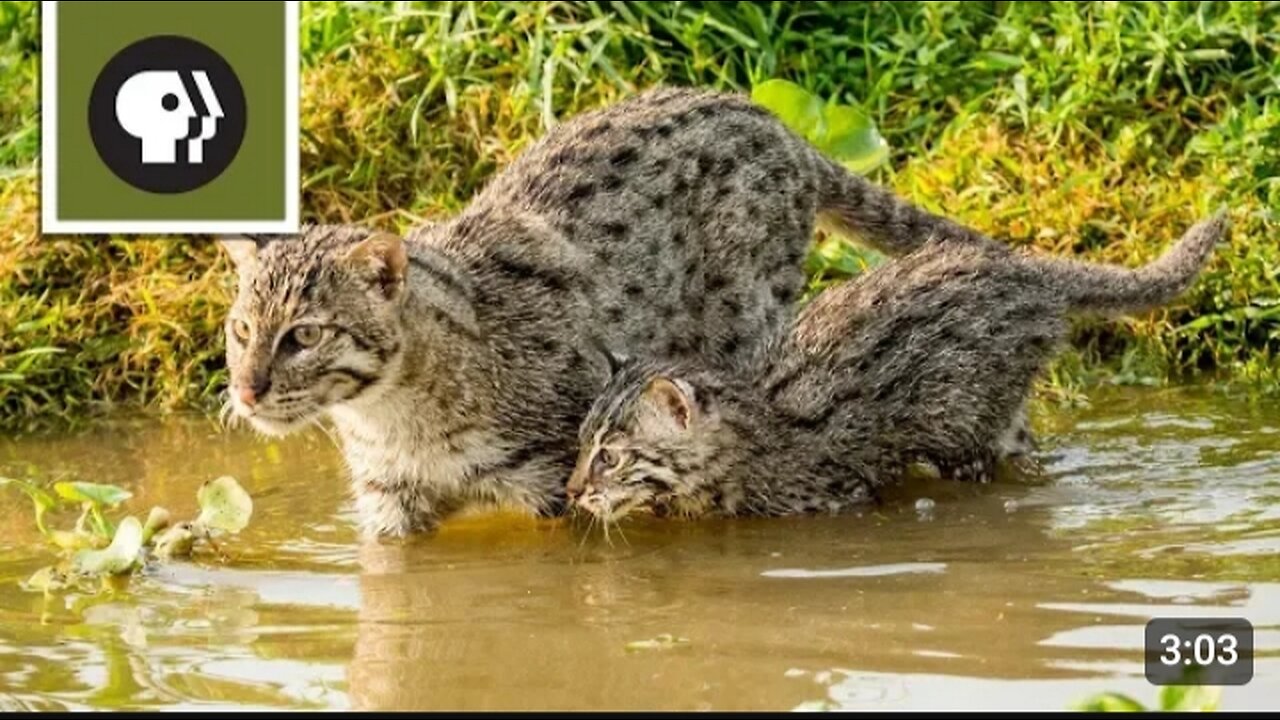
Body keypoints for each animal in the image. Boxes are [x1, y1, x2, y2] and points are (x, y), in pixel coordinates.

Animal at [220, 83, 998, 535]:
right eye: (241, 329)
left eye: (305, 335)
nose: (245, 391)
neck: (395, 417)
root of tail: (781, 126)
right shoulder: (390, 508)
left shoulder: (557, 480)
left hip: (746, 321)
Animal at [570, 210, 1228, 517]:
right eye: (579, 445)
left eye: (611, 457)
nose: (574, 490)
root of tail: (1026, 271)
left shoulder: (839, 495)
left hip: (966, 420)